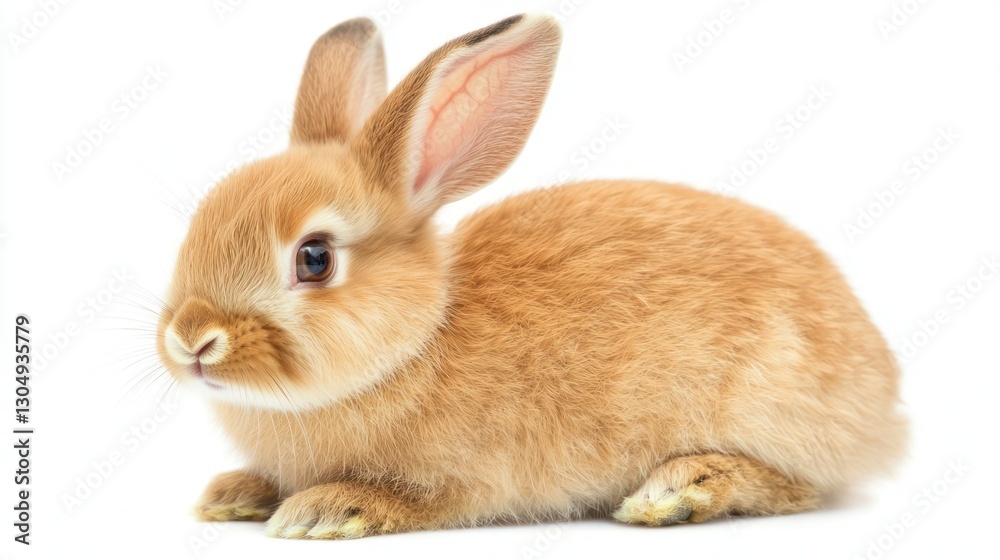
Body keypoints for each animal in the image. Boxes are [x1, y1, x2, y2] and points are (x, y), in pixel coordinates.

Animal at [157, 14, 907, 539]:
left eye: (314, 258)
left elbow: (415, 499)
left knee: (799, 486)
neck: (419, 340)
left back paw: (677, 492)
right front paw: (231, 495)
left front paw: (323, 511)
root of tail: (885, 399)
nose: (191, 340)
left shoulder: (461, 480)